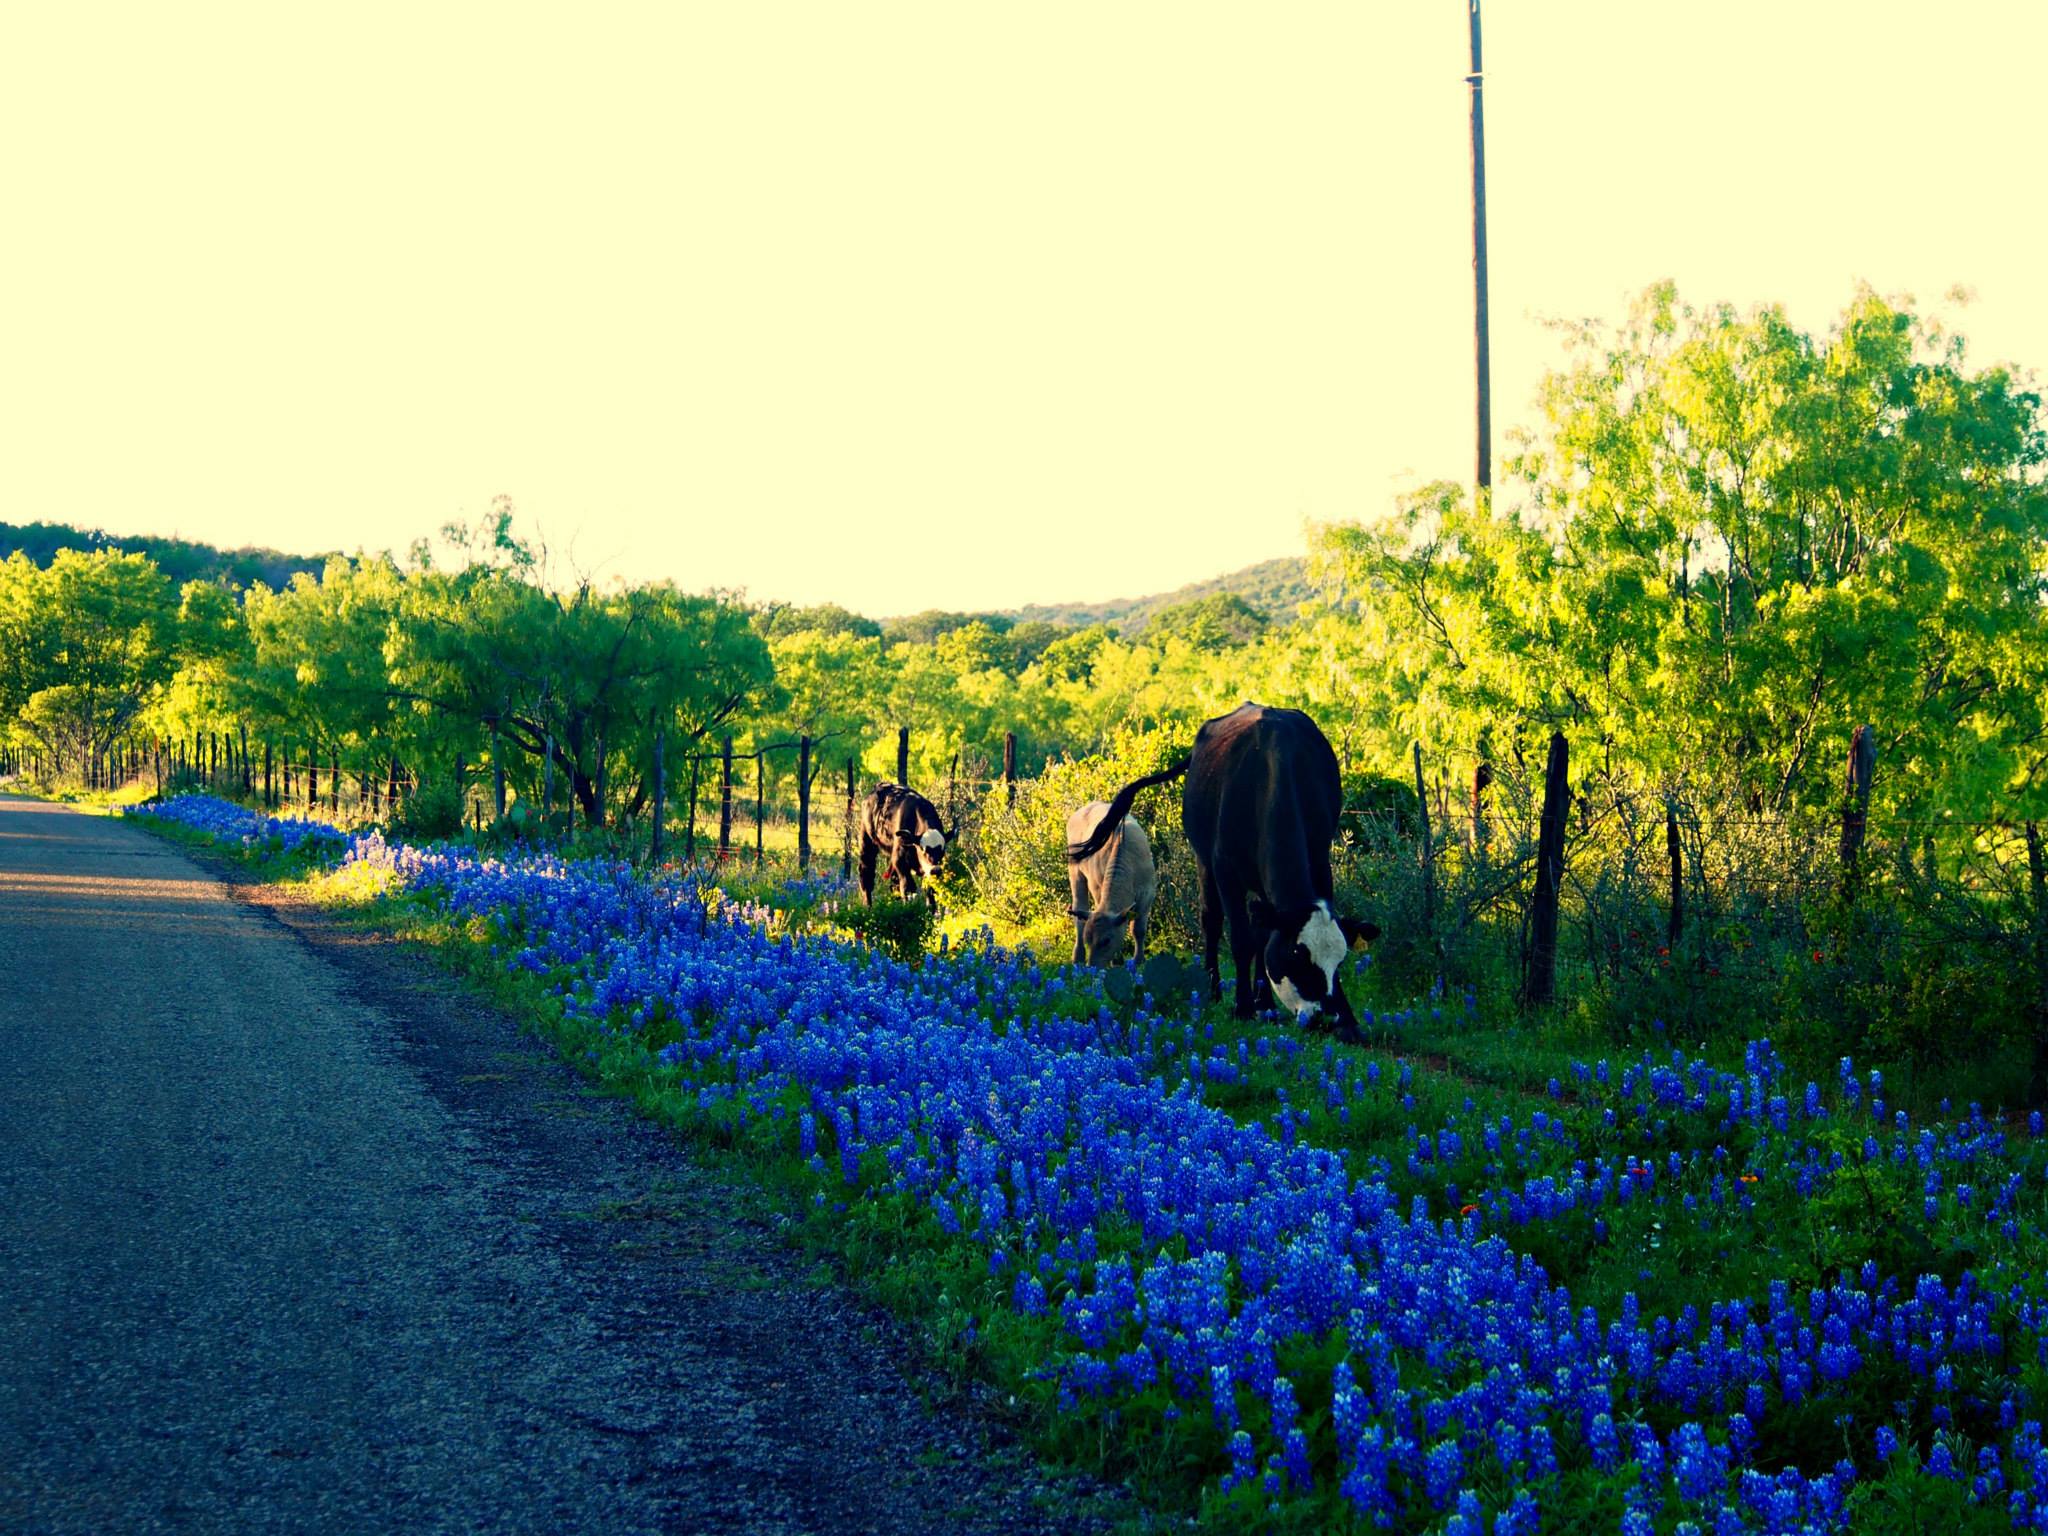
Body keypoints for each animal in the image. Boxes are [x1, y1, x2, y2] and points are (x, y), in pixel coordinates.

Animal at [1064, 708, 1384, 1048]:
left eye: (1339, 961)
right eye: (1296, 955)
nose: (1325, 1019)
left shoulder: (1320, 859)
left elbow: (1264, 938)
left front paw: (1346, 1020)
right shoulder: (1225, 869)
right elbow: (1241, 939)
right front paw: (1242, 1007)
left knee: (1259, 928)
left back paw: (1265, 1003)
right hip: (1204, 860)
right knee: (1213, 921)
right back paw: (1216, 990)